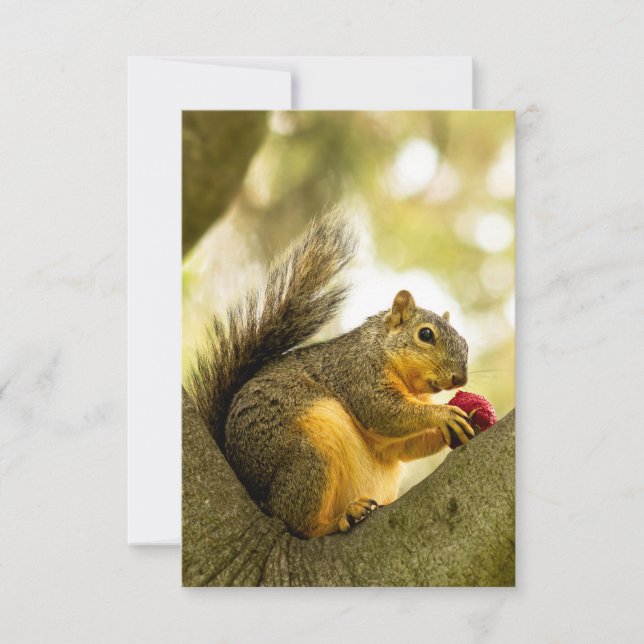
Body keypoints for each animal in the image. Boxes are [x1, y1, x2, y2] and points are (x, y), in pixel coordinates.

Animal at [187, 214, 473, 538]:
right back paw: (342, 517)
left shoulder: (391, 438)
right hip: (309, 457)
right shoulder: (357, 372)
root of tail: (256, 494)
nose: (460, 379)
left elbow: (404, 446)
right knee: (299, 523)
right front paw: (443, 415)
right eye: (425, 335)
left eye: (465, 343)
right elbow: (383, 411)